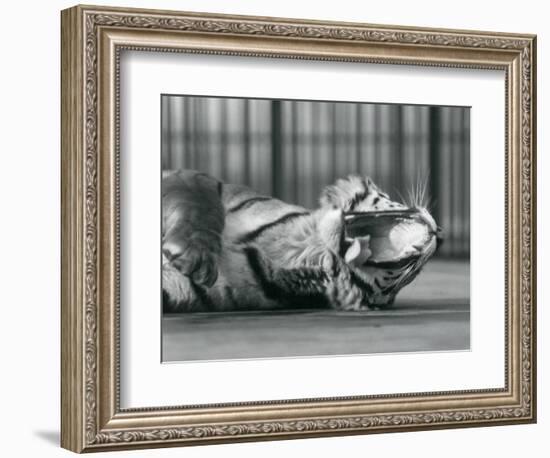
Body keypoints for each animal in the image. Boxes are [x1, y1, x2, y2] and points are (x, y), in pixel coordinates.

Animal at [162, 170, 442, 314]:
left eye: (413, 274)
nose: (441, 234)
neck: (305, 248)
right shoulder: (195, 179)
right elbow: (203, 205)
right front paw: (194, 255)